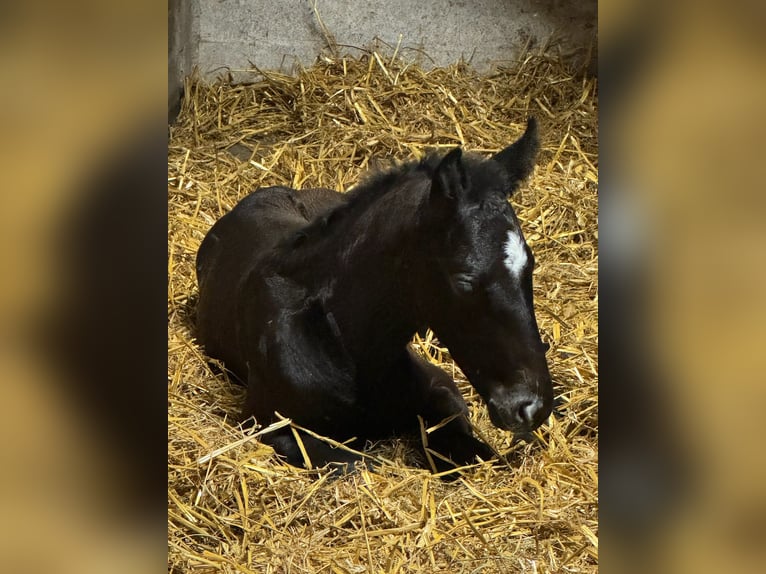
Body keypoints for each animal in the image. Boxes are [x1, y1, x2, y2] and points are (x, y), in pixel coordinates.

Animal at [195, 117, 554, 474]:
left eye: (530, 265)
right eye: (463, 279)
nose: (531, 407)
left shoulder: (442, 389)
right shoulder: (270, 426)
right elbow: (359, 465)